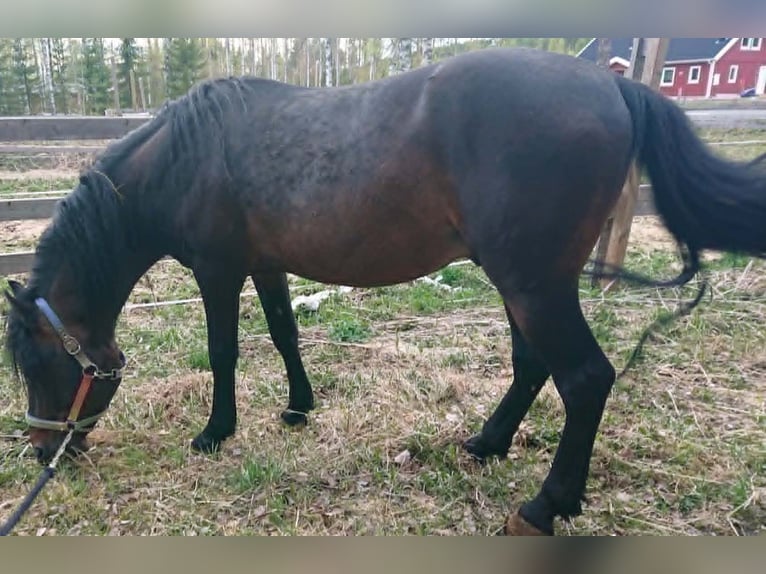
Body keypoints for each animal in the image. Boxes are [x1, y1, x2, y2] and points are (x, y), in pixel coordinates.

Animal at [4, 47, 765, 536]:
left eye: (37, 363)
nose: (44, 451)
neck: (181, 158)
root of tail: (613, 88)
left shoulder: (217, 271)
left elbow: (224, 352)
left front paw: (216, 432)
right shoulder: (266, 265)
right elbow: (283, 333)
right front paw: (298, 408)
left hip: (536, 285)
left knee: (584, 378)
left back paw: (546, 506)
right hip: (520, 283)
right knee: (532, 365)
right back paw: (488, 443)